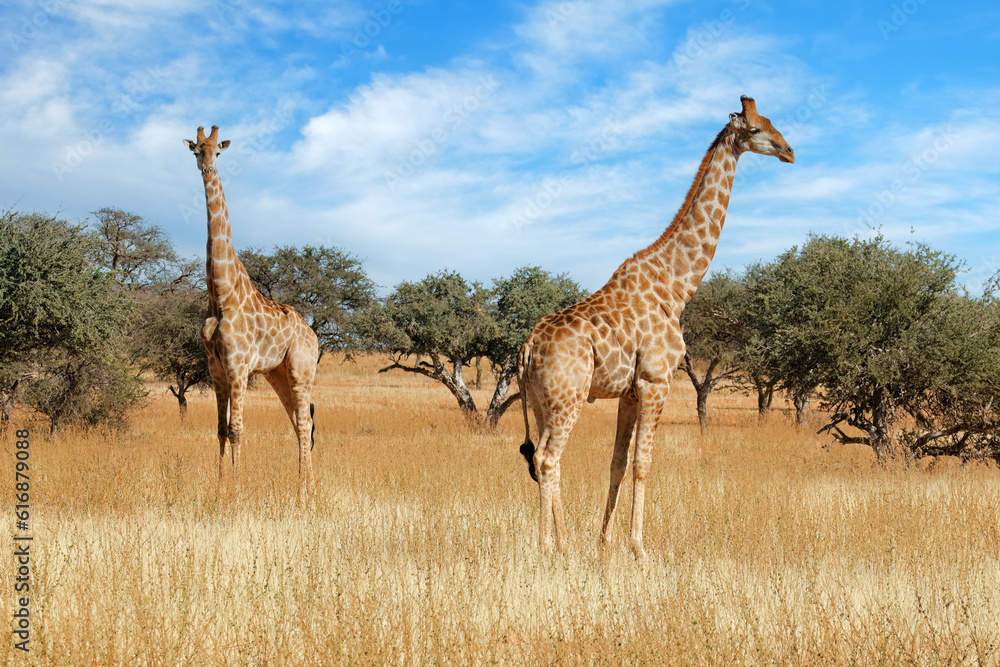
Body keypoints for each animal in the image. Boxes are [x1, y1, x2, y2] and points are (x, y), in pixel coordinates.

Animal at [183, 126, 320, 504]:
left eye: (218, 151)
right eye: (197, 150)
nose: (207, 169)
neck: (221, 293)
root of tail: (314, 334)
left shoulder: (239, 366)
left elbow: (237, 430)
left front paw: (237, 495)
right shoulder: (216, 369)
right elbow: (219, 430)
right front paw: (218, 494)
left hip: (302, 371)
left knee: (305, 423)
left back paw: (304, 495)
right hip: (278, 373)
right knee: (299, 424)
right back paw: (305, 491)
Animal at [517, 96, 794, 559]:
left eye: (773, 122)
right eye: (756, 129)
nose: (789, 151)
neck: (677, 285)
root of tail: (526, 349)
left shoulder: (630, 392)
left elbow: (617, 462)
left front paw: (604, 542)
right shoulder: (655, 381)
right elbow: (643, 463)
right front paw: (639, 549)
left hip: (541, 402)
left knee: (542, 458)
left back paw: (559, 543)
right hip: (568, 397)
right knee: (547, 459)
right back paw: (553, 548)